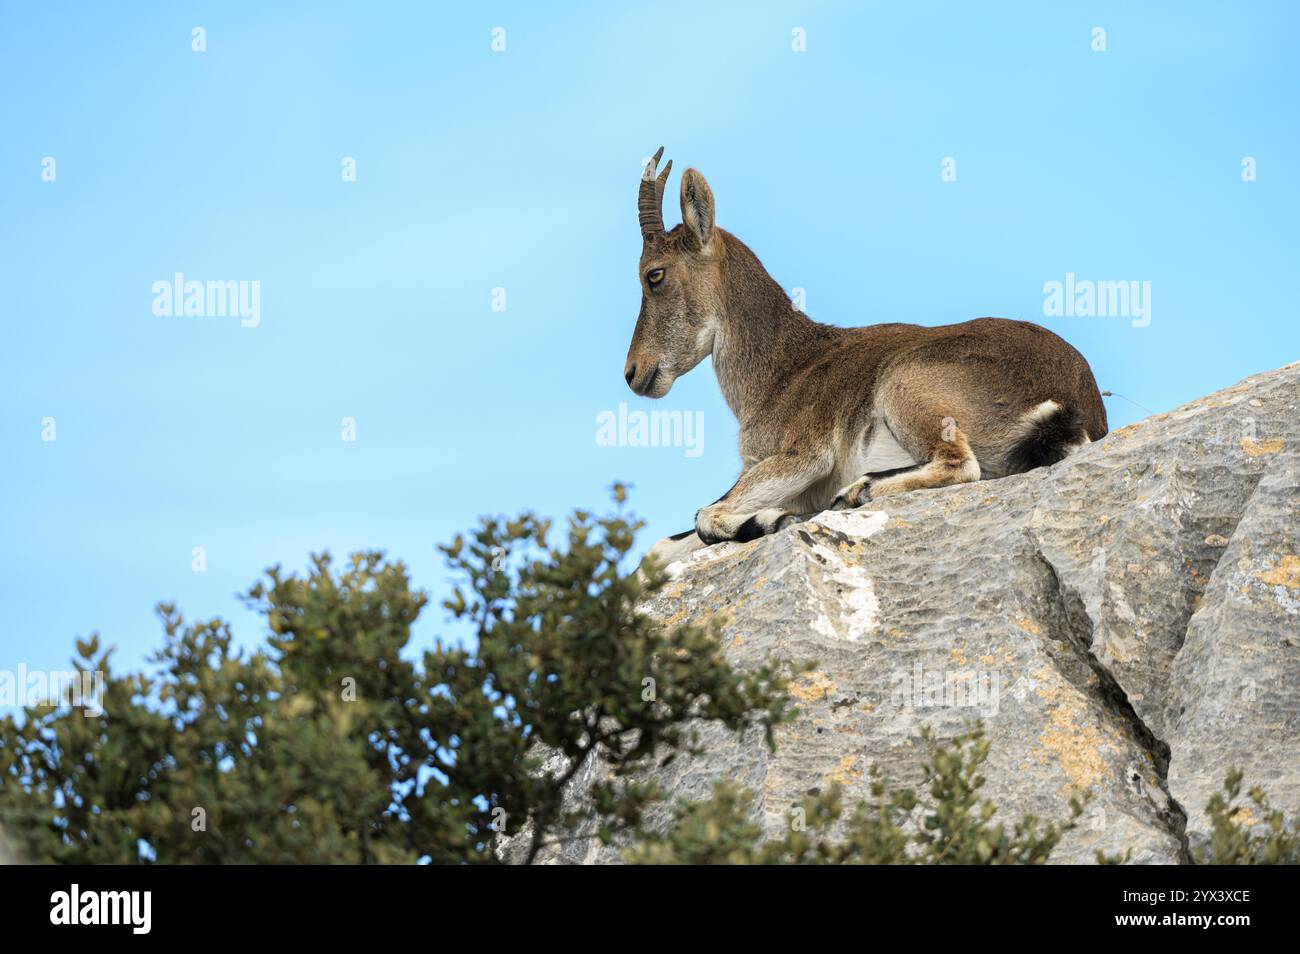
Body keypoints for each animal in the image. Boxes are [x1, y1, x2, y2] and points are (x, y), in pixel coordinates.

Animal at [625, 148, 1108, 545]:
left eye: (654, 274)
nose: (633, 372)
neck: (781, 370)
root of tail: (1074, 402)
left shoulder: (804, 456)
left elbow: (706, 516)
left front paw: (772, 520)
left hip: (906, 384)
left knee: (960, 464)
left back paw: (860, 490)